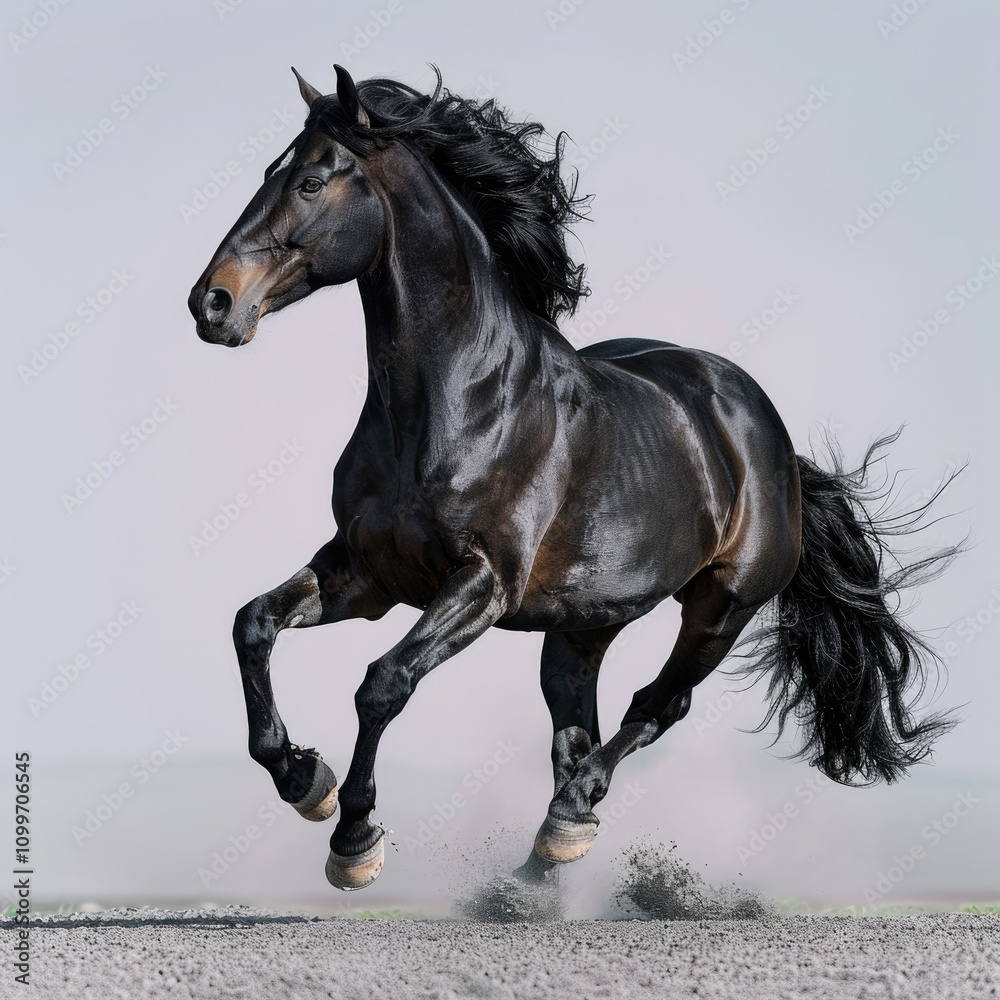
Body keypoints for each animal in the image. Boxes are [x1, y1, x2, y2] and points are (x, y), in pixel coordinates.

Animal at [189, 64, 958, 891]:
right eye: (268, 174)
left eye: (309, 181)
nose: (212, 301)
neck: (454, 402)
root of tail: (772, 443)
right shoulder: (366, 574)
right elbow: (253, 624)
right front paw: (305, 780)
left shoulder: (480, 585)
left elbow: (382, 684)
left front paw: (354, 838)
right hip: (585, 623)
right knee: (576, 731)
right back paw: (540, 866)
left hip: (722, 606)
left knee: (655, 707)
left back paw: (567, 820)